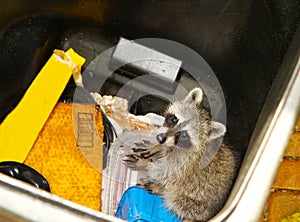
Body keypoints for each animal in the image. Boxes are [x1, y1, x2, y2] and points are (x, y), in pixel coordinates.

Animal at [123, 87, 238, 221]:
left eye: (184, 134)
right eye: (174, 119)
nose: (160, 138)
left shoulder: (183, 164)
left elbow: (164, 171)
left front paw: (145, 164)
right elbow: (164, 150)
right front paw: (155, 149)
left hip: (195, 206)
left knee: (174, 200)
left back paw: (160, 189)